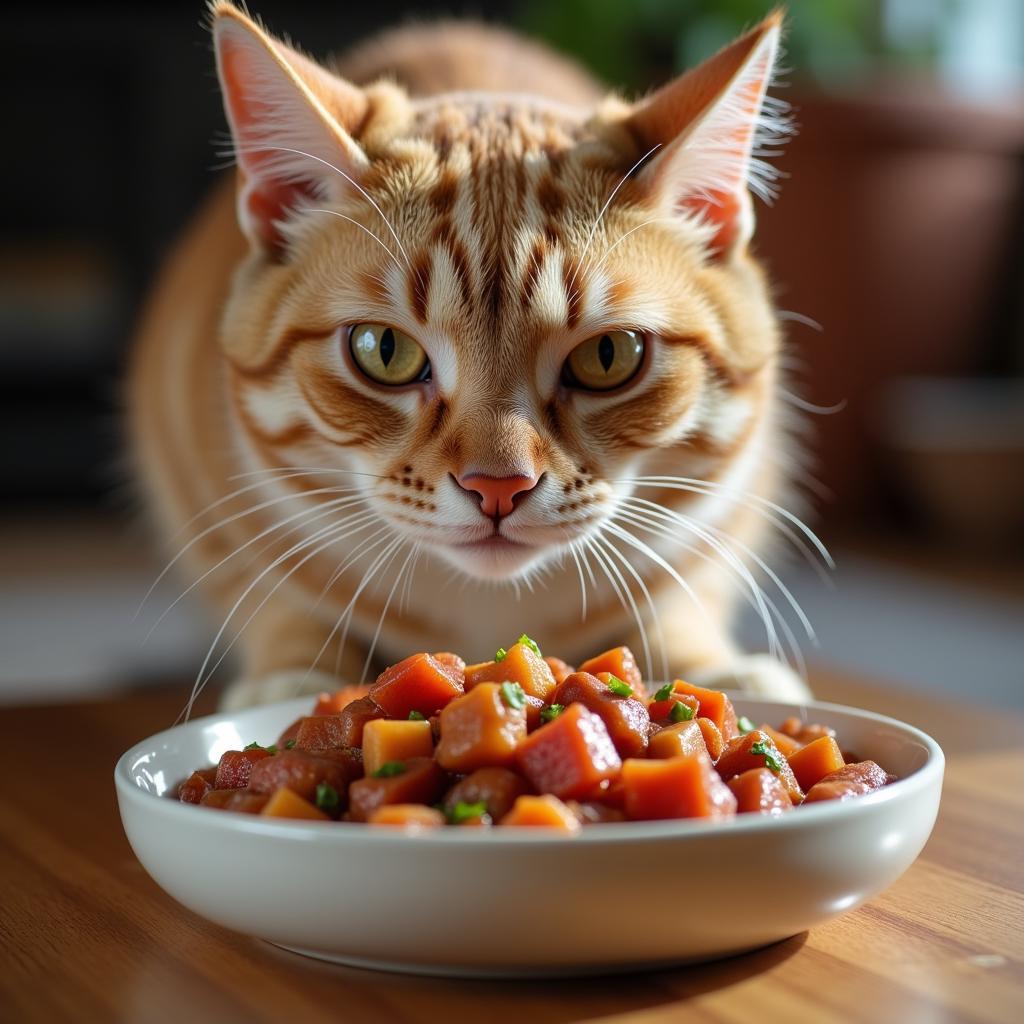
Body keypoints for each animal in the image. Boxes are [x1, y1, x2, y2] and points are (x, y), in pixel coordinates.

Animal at [130, 2, 823, 712]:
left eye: (608, 355)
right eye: (384, 351)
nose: (498, 487)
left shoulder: (730, 504)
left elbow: (681, 602)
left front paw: (715, 669)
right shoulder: (211, 493)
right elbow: (279, 600)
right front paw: (289, 678)